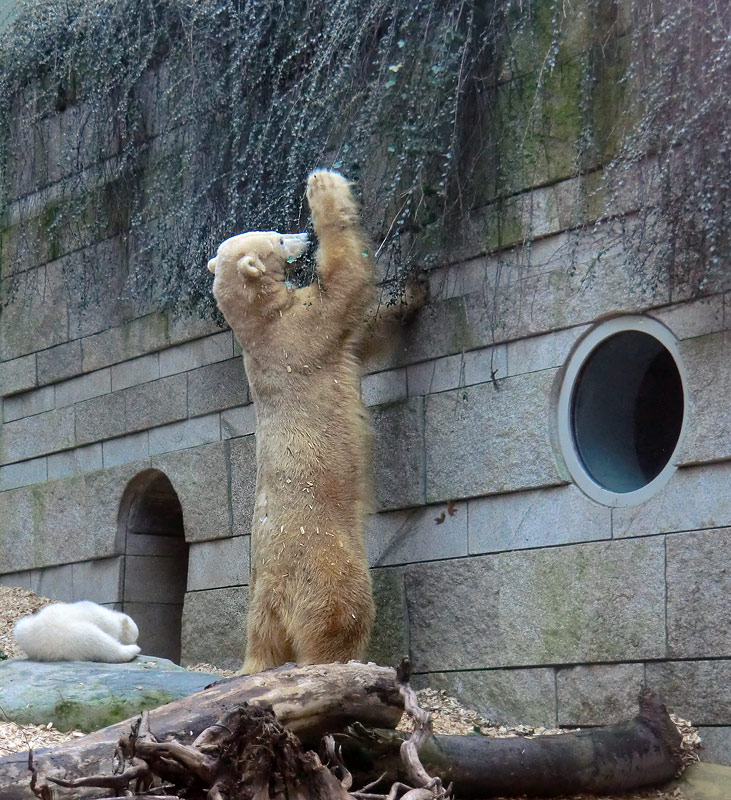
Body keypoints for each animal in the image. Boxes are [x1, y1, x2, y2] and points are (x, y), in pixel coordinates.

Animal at [209, 172, 374, 672]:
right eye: (277, 238)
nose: (302, 235)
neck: (260, 323)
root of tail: (277, 591)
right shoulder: (300, 331)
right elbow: (346, 287)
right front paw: (324, 187)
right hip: (325, 559)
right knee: (342, 612)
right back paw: (344, 663)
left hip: (260, 597)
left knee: (263, 637)